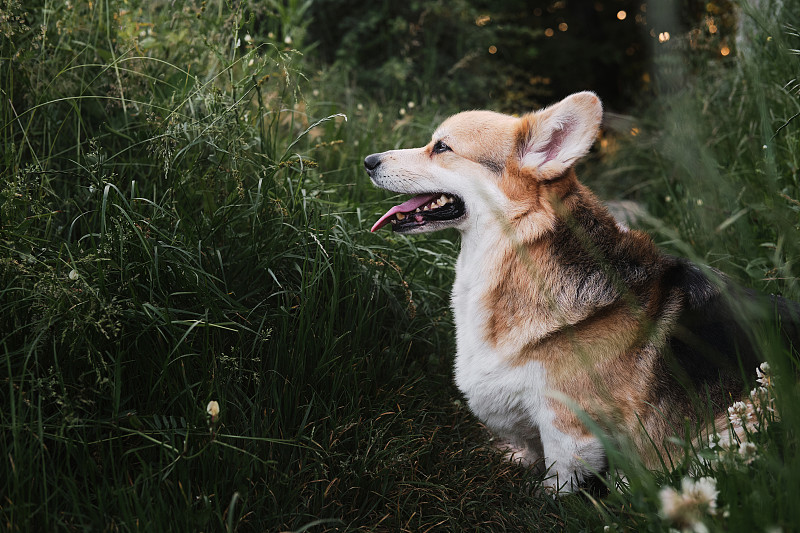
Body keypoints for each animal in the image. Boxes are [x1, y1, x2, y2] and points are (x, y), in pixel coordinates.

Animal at [366, 90, 796, 490]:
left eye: (442, 147)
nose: (369, 161)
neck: (515, 254)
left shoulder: (568, 426)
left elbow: (558, 478)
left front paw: (547, 498)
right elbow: (529, 447)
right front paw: (517, 458)